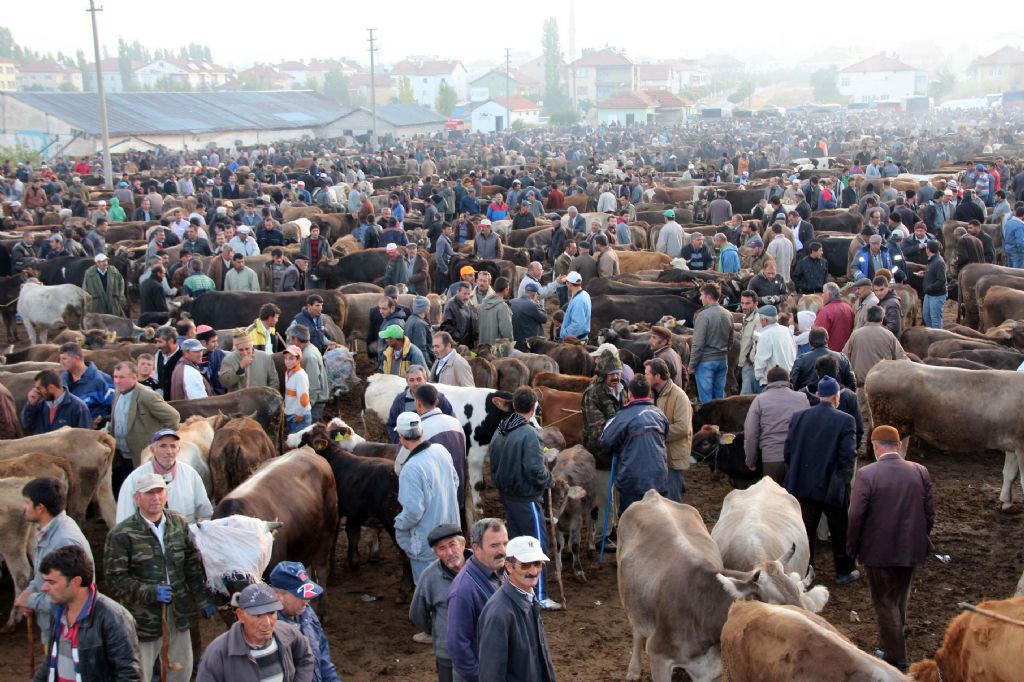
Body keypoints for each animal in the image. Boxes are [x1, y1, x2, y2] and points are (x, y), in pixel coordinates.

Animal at [544, 444, 598, 581]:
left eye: (562, 498)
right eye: (544, 498)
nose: (547, 519)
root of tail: (577, 446)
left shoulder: (576, 521)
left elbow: (575, 545)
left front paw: (578, 571)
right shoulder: (556, 525)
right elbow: (558, 545)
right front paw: (558, 570)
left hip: (592, 504)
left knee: (591, 521)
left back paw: (591, 547)